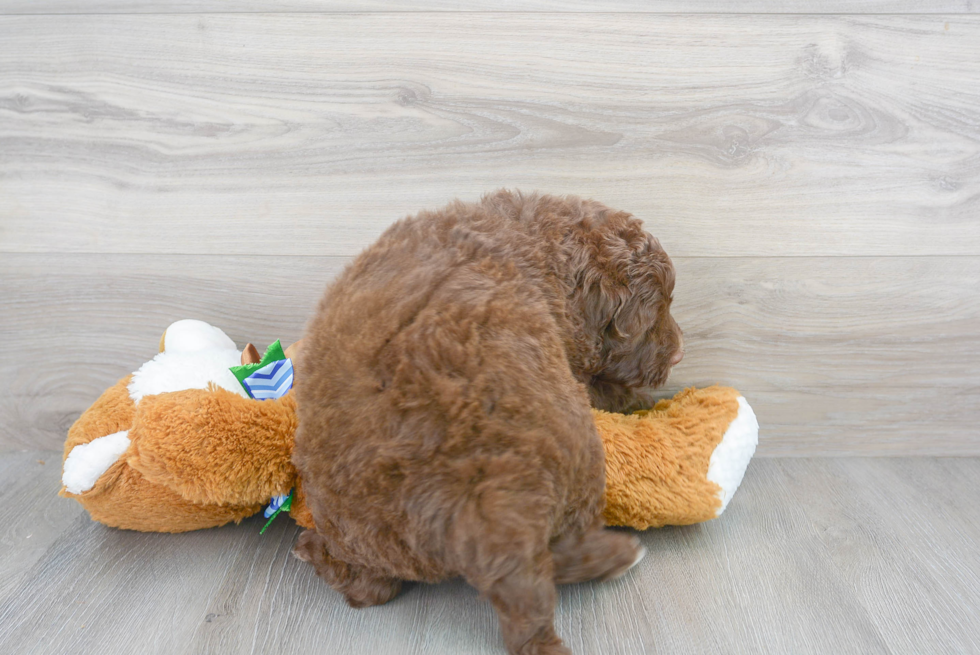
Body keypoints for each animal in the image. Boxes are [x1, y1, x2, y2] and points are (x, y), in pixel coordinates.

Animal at [294, 191, 684, 655]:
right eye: (658, 311)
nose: (679, 353)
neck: (538, 241)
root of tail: (467, 513)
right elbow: (604, 388)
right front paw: (642, 400)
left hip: (362, 532)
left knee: (369, 587)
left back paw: (312, 550)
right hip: (578, 455)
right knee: (557, 557)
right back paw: (621, 557)